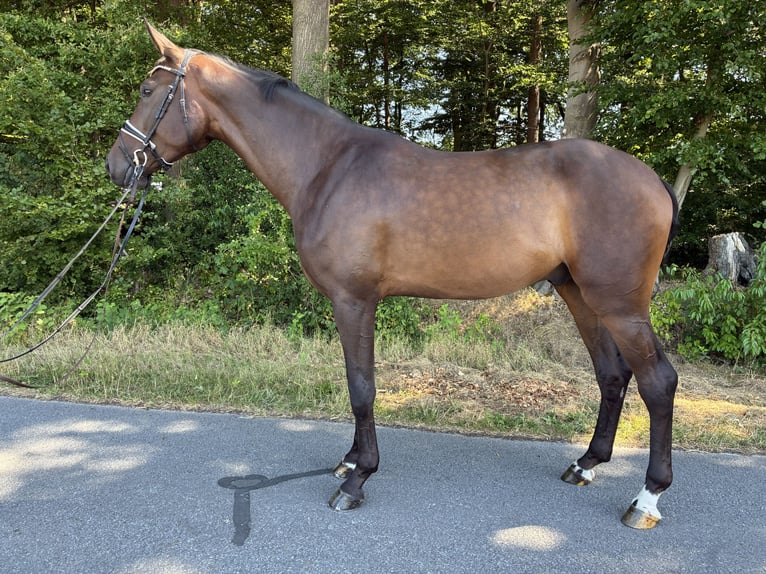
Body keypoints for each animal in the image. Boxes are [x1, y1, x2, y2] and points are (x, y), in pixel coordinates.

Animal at [106, 22, 679, 530]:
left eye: (147, 90)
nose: (117, 166)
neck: (327, 167)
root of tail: (655, 182)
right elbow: (354, 382)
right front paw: (349, 459)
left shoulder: (354, 300)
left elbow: (362, 386)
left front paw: (357, 481)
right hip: (578, 292)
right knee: (612, 374)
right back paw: (586, 464)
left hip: (620, 304)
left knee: (658, 381)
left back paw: (647, 498)